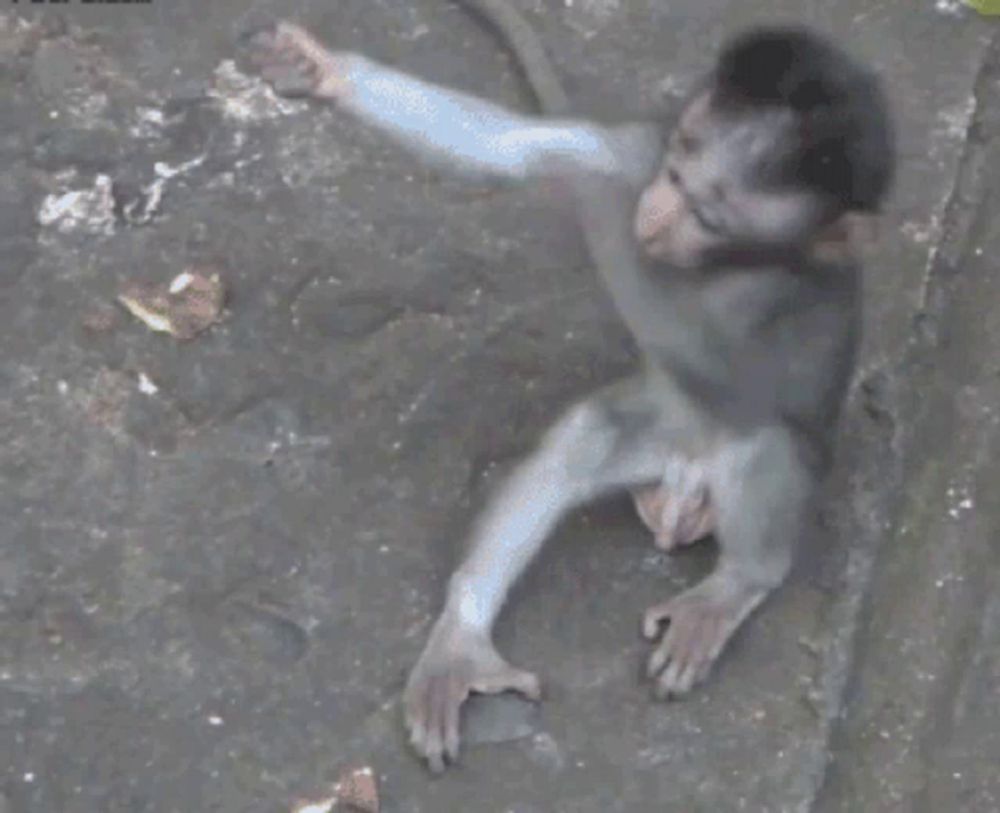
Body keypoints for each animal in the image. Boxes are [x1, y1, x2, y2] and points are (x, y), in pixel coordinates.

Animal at [246, 17, 896, 768]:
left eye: (706, 213)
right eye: (675, 170)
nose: (652, 212)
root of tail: (685, 487)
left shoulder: (777, 290)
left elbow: (727, 365)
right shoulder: (635, 149)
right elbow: (518, 149)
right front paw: (325, 73)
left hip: (753, 463)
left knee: (769, 445)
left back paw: (735, 584)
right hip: (658, 436)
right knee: (586, 440)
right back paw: (463, 636)